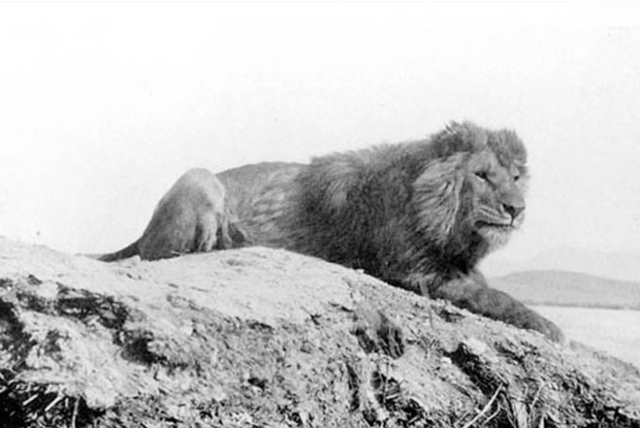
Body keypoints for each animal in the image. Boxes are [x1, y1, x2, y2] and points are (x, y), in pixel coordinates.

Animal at [217, 122, 563, 341]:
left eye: (515, 177)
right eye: (481, 175)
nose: (516, 209)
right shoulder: (414, 272)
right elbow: (494, 297)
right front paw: (550, 327)